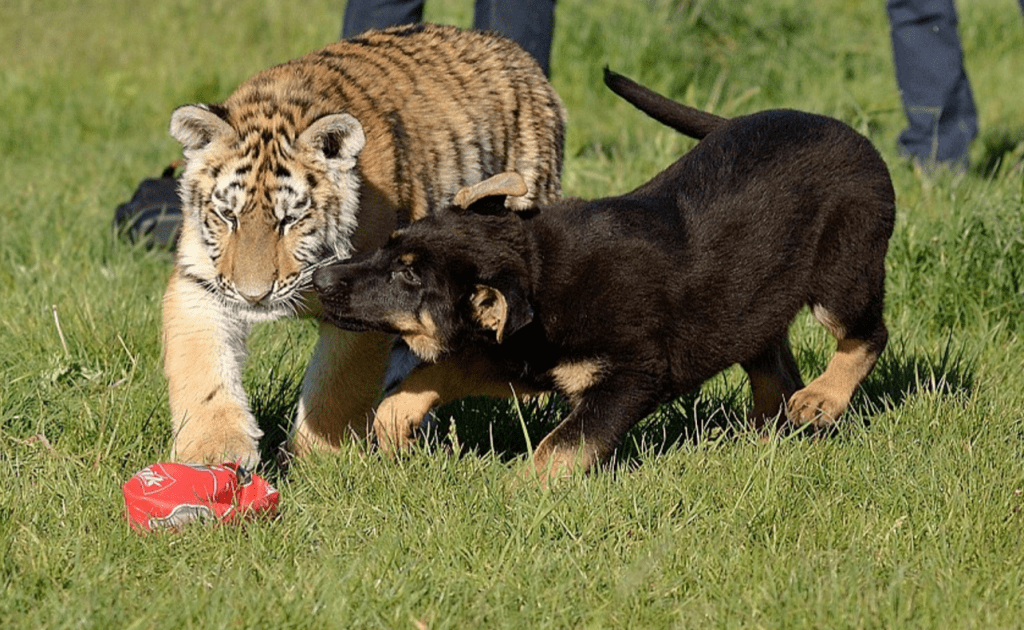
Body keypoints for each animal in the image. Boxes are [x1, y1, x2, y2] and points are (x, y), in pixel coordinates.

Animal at [163, 23, 566, 468]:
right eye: (228, 216)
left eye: (290, 221)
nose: (255, 297)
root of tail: (512, 51)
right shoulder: (201, 281)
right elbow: (200, 365)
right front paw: (212, 451)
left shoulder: (366, 299)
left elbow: (336, 387)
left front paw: (317, 459)